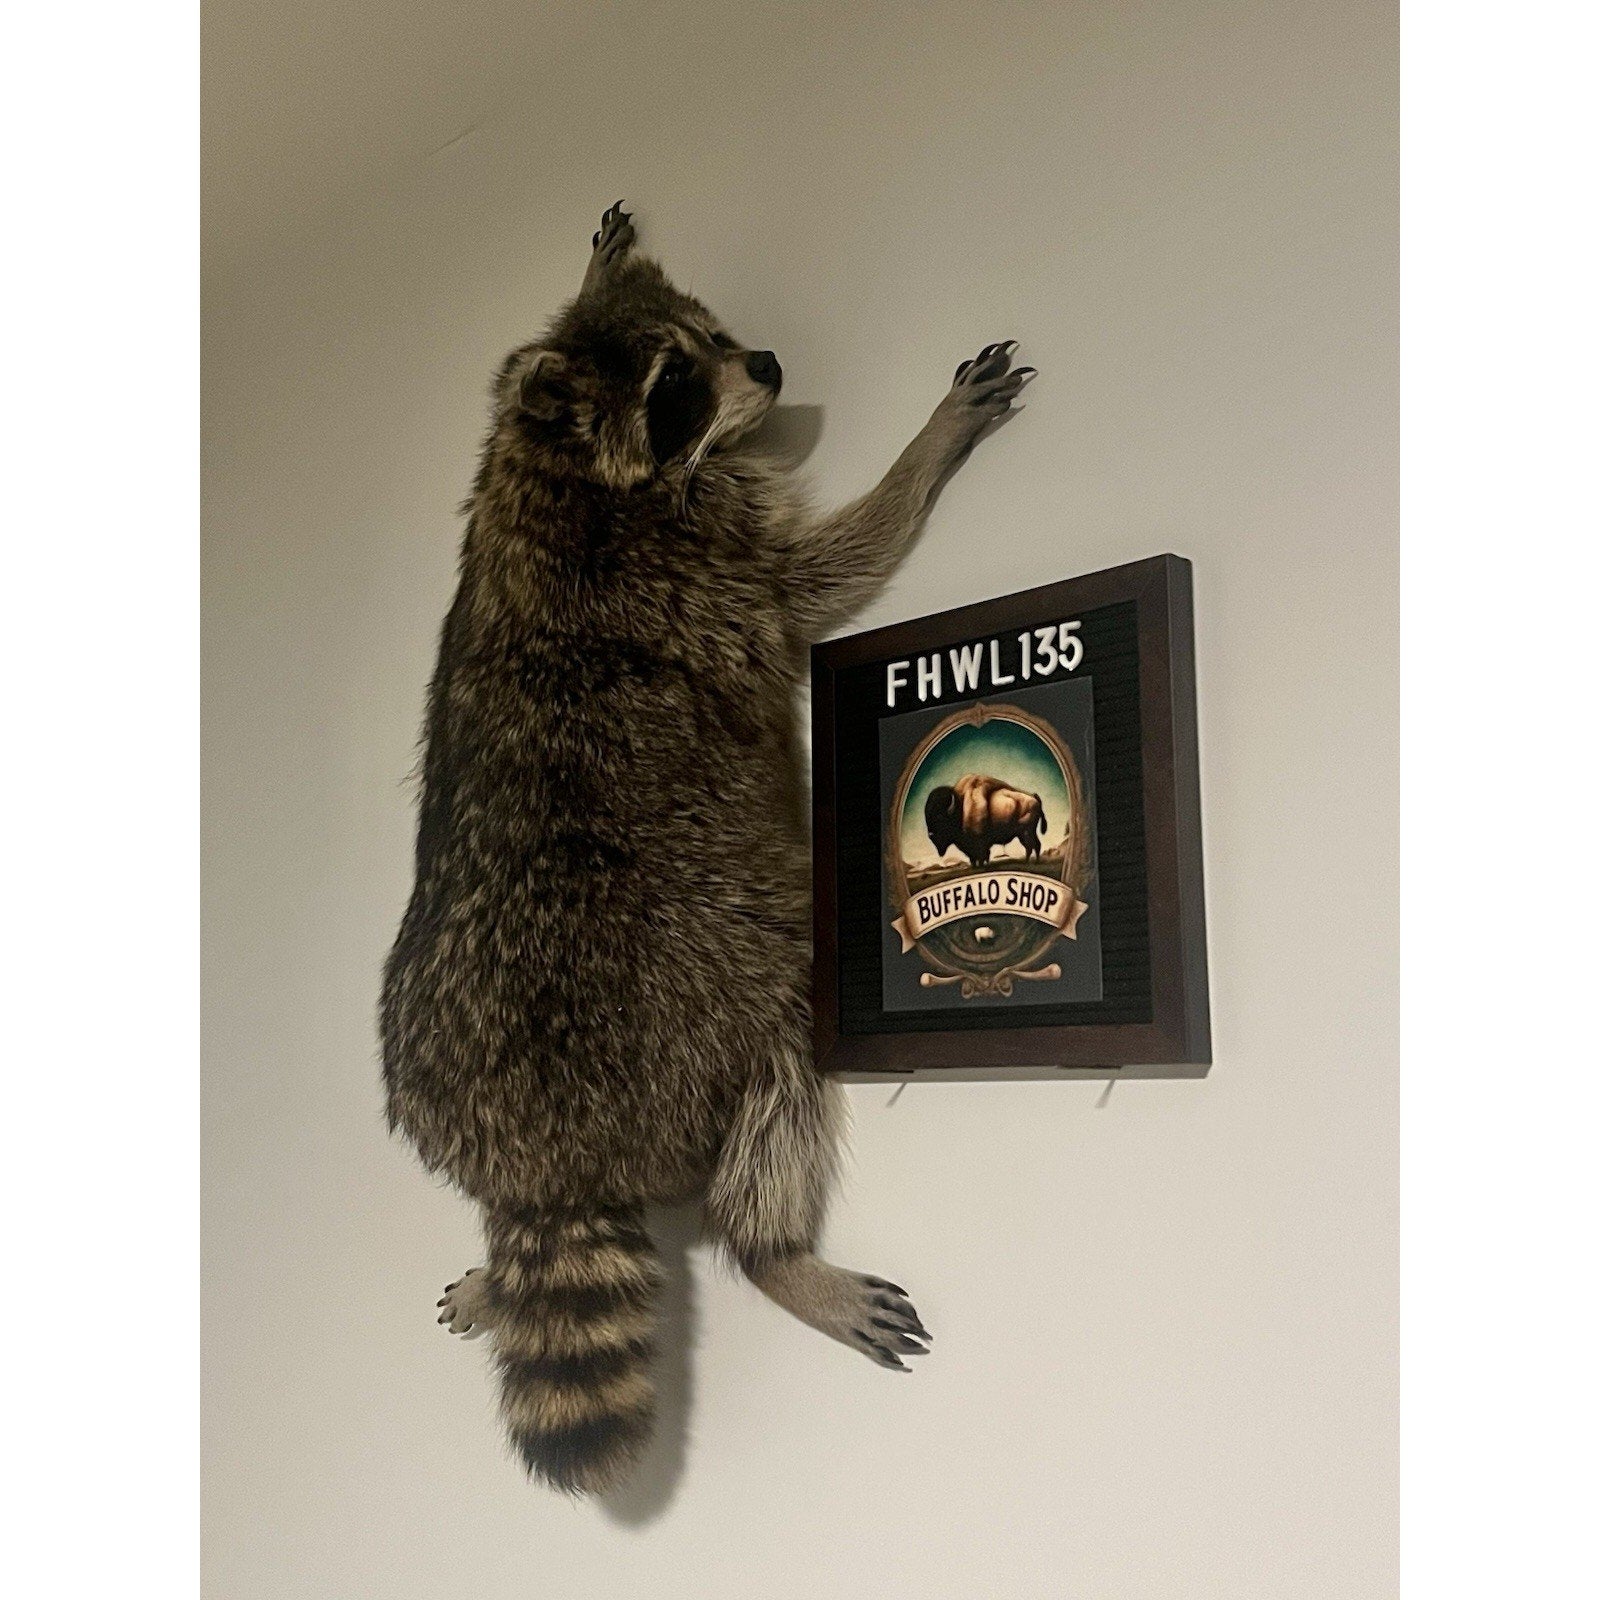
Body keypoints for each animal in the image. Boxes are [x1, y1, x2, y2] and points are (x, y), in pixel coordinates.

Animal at [380, 202, 1034, 1494]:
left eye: (713, 336)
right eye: (677, 383)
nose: (771, 367)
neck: (557, 468)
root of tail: (543, 1157)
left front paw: (596, 261)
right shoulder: (711, 560)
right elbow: (829, 569)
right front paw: (924, 449)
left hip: (417, 1064)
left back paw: (494, 1269)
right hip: (713, 976)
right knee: (780, 1063)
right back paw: (776, 1252)